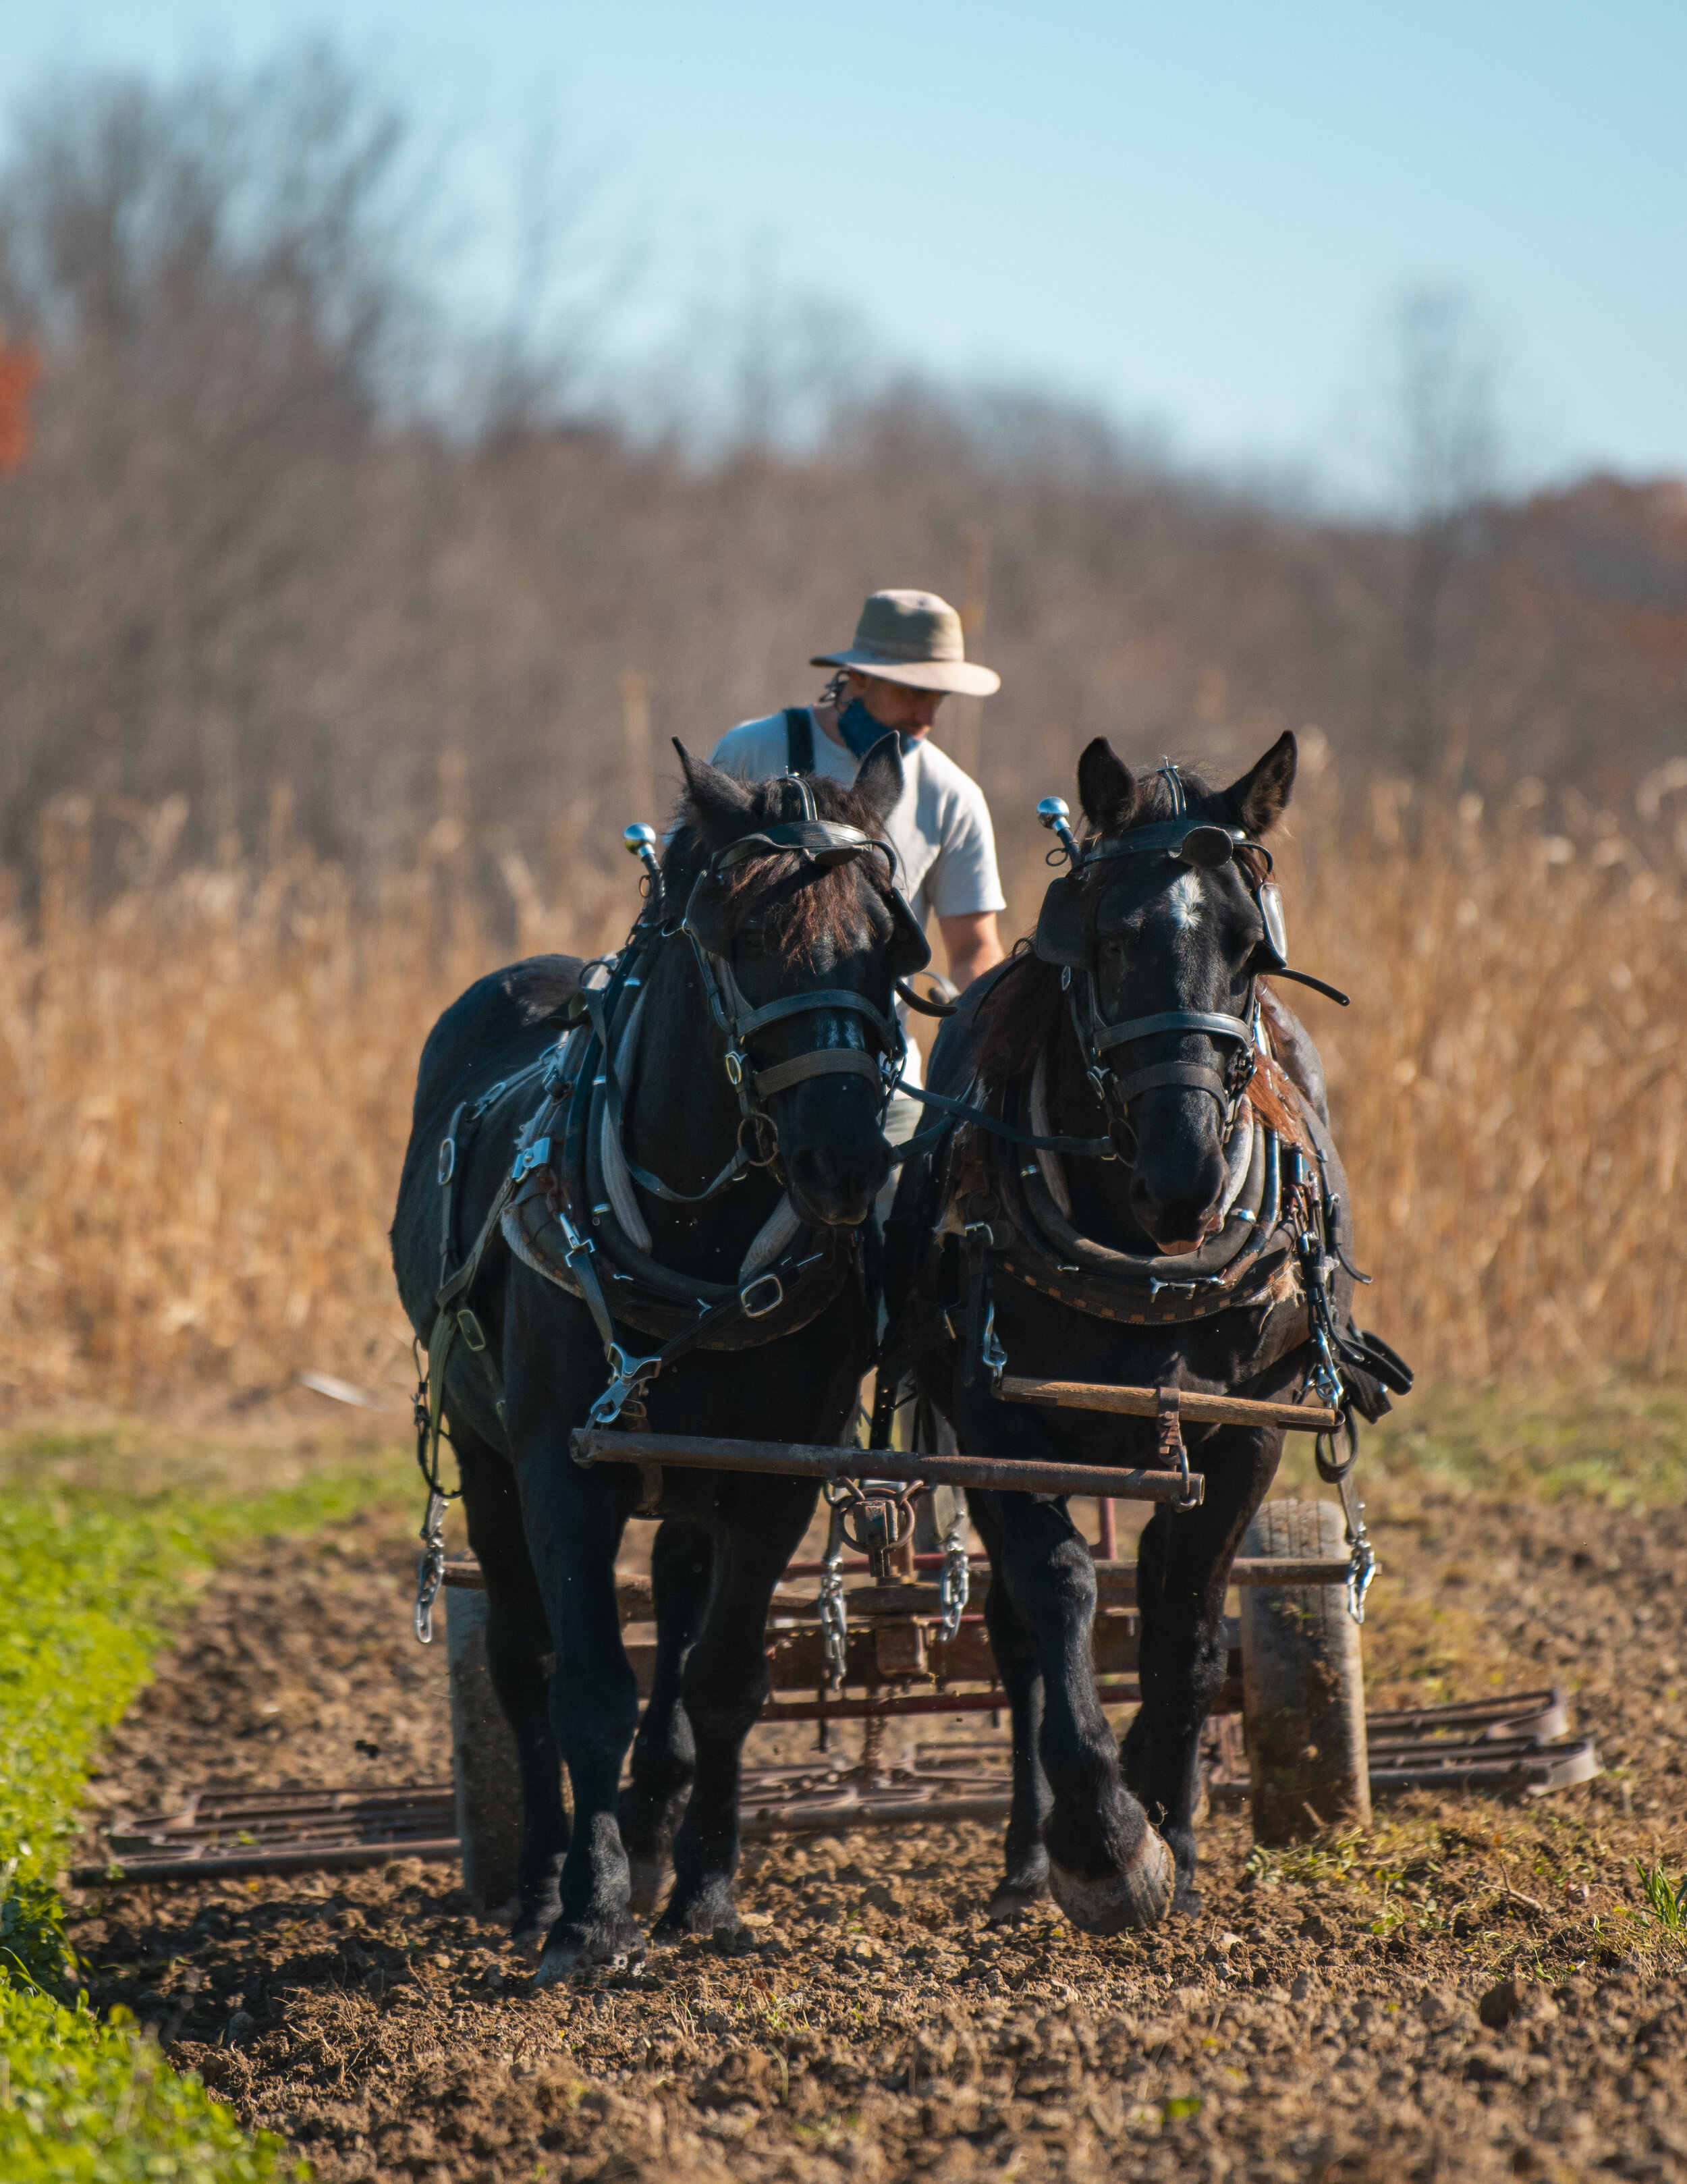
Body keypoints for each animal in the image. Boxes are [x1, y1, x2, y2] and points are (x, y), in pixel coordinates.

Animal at [392, 738, 929, 1980]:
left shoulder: (773, 1480)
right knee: (525, 1663)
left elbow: (722, 1683)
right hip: (487, 1459)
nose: (846, 1159)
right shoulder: (557, 1470)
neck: (698, 1247)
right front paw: (588, 1920)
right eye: (743, 937)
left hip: (691, 1479)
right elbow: (590, 1685)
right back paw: (542, 1877)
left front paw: (705, 1892)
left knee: (680, 1620)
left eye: (895, 945)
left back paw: (646, 1826)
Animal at [883, 730, 1405, 1928]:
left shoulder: (1244, 1430)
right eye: (1111, 939)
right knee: (1020, 1637)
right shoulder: (999, 1424)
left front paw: (1175, 1827)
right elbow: (1063, 1598)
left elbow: (1188, 1623)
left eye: (1251, 950)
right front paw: (1107, 1844)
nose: (1188, 1178)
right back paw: (1027, 1860)